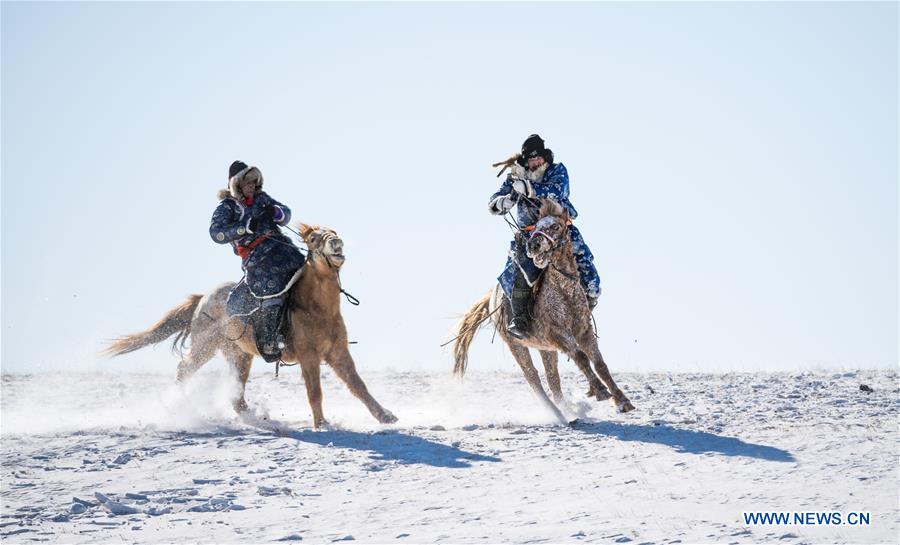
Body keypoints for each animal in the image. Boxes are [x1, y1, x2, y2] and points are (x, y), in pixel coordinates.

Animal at [105, 223, 398, 428]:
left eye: (333, 231)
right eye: (314, 239)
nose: (336, 242)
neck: (316, 308)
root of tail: (203, 298)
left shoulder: (339, 354)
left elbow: (359, 386)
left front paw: (385, 416)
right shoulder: (309, 357)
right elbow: (315, 391)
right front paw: (323, 424)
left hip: (240, 355)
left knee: (235, 393)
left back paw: (257, 418)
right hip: (204, 347)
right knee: (184, 370)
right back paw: (180, 408)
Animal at [450, 199, 632, 420]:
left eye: (556, 226)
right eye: (535, 227)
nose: (533, 245)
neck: (564, 291)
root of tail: (492, 295)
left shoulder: (584, 332)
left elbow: (600, 364)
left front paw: (622, 401)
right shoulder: (558, 334)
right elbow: (581, 357)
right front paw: (600, 391)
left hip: (545, 348)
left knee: (552, 378)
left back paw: (569, 411)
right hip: (516, 345)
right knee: (533, 377)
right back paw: (558, 415)